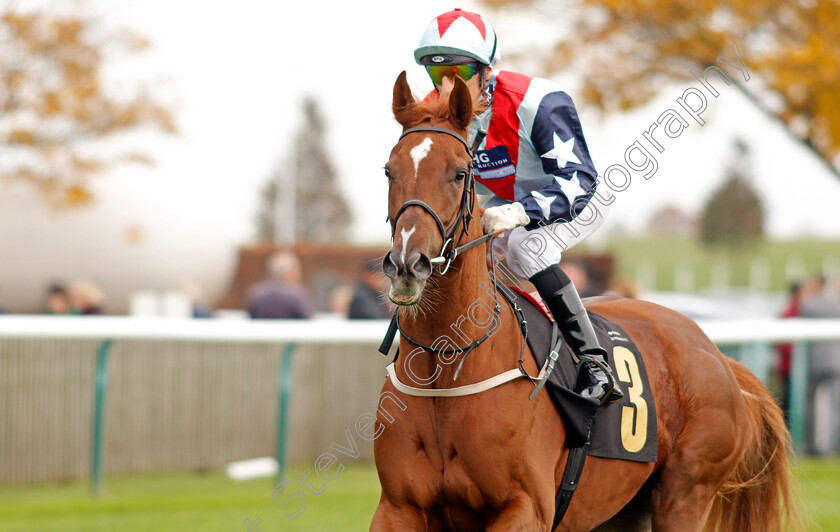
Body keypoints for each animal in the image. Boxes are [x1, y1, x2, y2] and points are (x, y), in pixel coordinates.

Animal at [370, 71, 796, 532]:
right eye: (389, 171)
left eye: (459, 173)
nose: (407, 263)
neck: (447, 370)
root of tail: (719, 357)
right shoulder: (398, 507)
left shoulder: (525, 507)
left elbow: (572, 175)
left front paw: (503, 216)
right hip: (621, 511)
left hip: (685, 494)